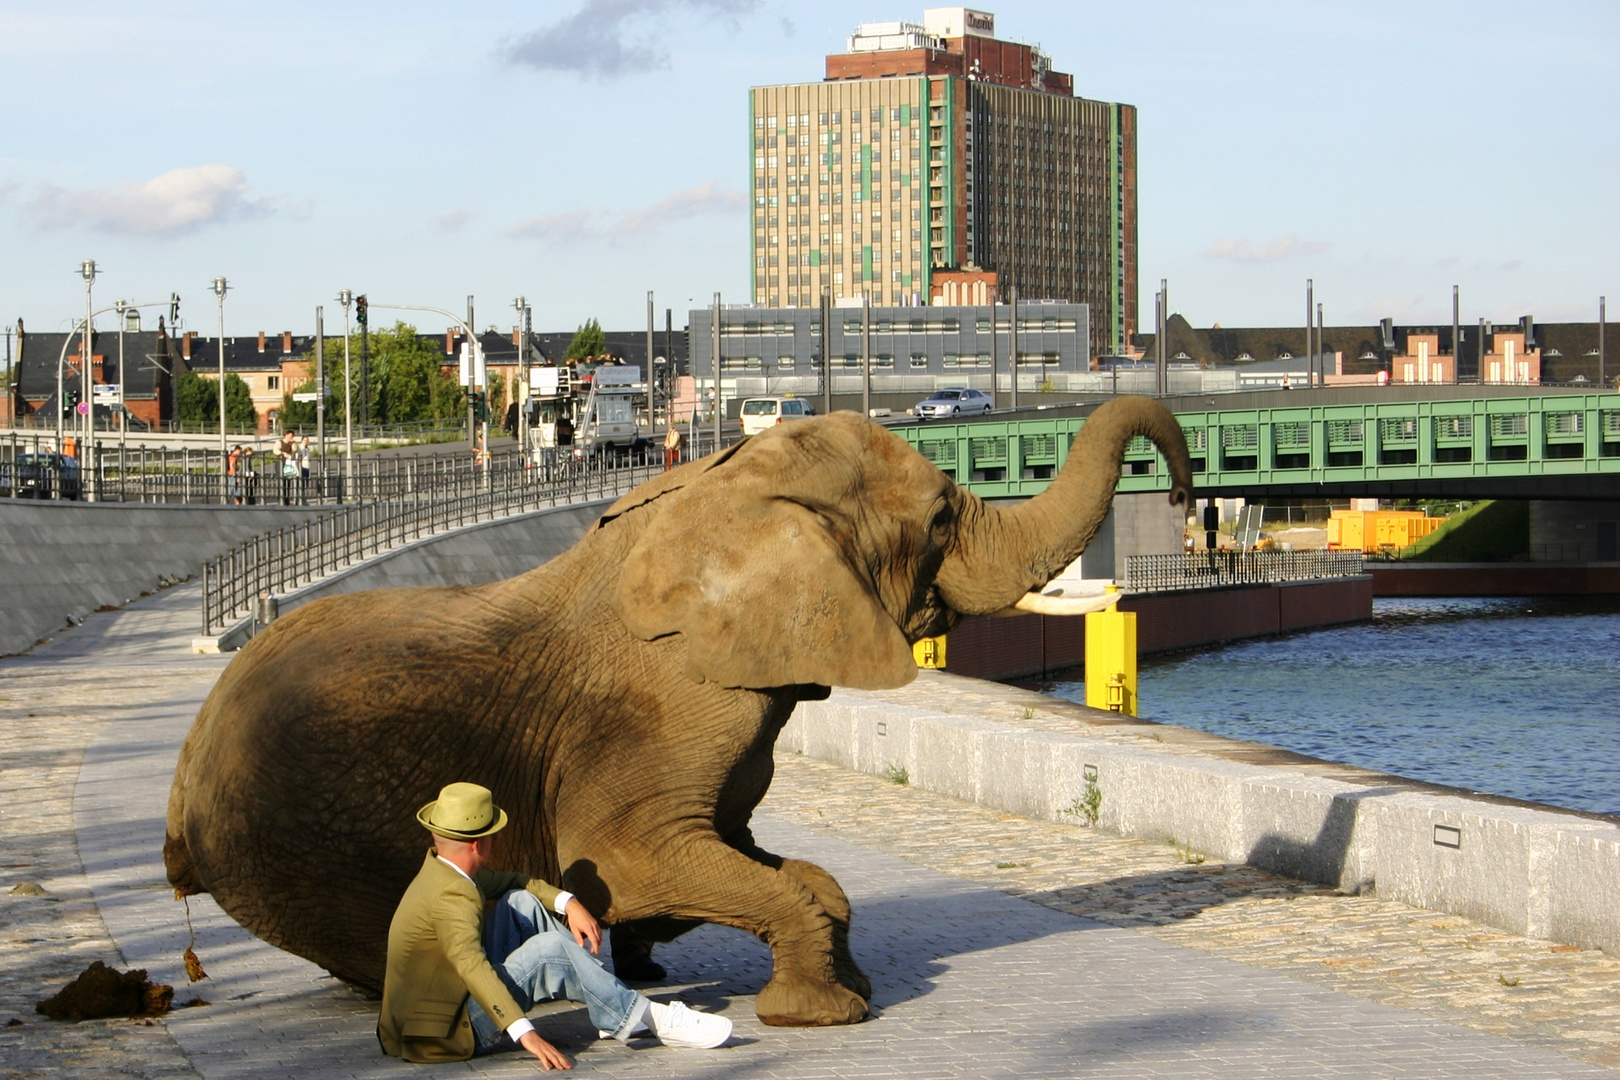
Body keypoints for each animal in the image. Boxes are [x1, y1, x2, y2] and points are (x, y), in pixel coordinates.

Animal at [167, 396, 1192, 1029]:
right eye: (941, 520)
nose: (1184, 493)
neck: (718, 486)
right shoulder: (660, 711)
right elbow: (631, 861)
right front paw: (823, 1015)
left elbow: (772, 861)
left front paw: (848, 985)